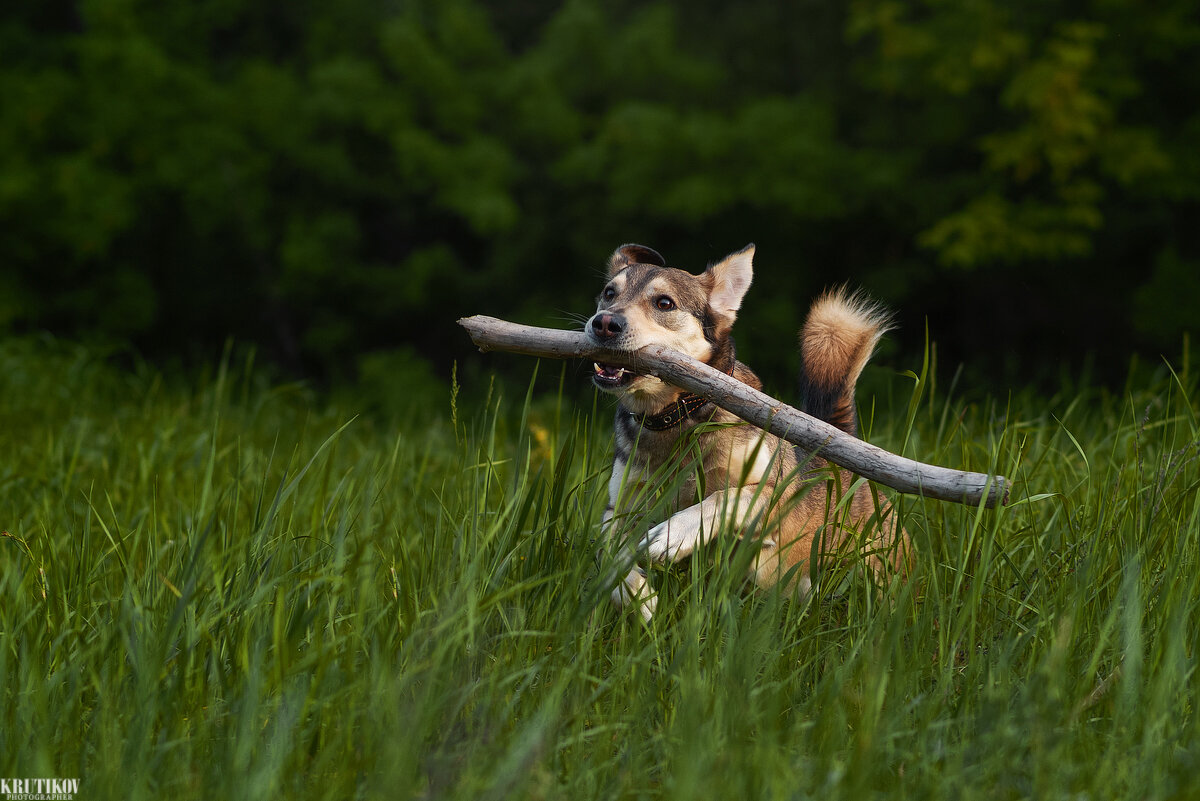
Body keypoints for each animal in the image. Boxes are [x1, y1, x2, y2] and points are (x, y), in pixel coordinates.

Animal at [583, 244, 907, 618]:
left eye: (664, 303)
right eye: (609, 294)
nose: (604, 324)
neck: (676, 419)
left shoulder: (778, 496)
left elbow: (721, 498)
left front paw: (674, 535)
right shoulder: (618, 509)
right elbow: (605, 549)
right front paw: (638, 596)